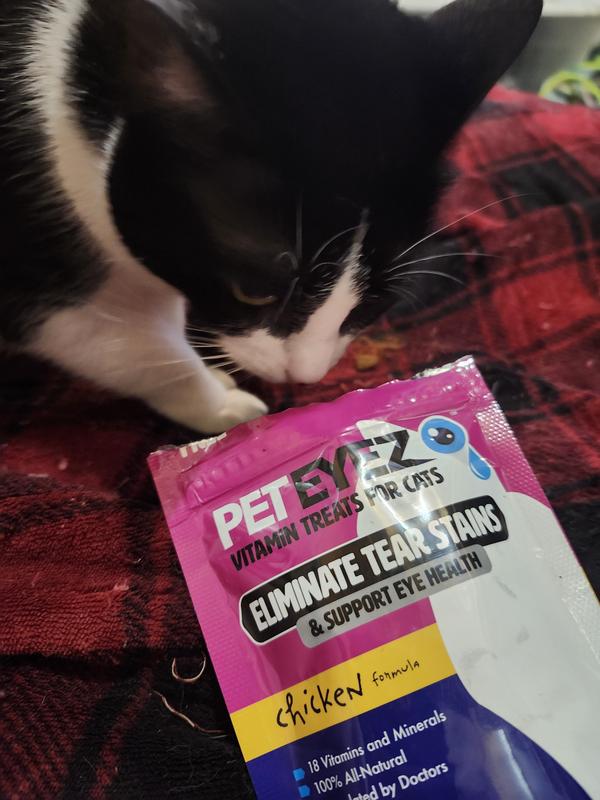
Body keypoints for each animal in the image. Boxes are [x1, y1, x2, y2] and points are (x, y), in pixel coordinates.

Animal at [0, 0, 542, 432]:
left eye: (374, 303)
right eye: (252, 291)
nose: (304, 375)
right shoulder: (42, 279)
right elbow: (139, 347)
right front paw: (217, 405)